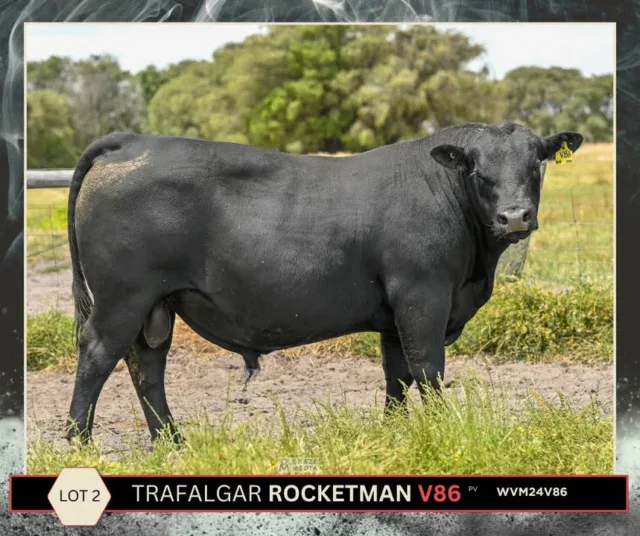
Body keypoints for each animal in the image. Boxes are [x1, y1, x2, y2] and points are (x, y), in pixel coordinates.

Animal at [64, 122, 583, 443]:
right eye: (477, 169)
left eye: (536, 163)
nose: (515, 216)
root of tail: (131, 140)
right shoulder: (423, 295)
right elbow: (427, 369)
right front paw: (441, 430)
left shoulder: (393, 313)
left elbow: (396, 374)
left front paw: (398, 431)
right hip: (122, 299)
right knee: (98, 356)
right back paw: (79, 442)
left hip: (156, 305)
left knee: (146, 366)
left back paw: (173, 442)